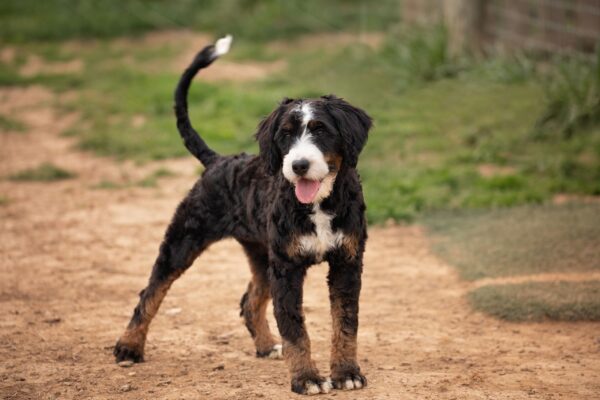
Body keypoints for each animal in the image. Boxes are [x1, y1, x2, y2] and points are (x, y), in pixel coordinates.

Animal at [113, 33, 372, 394]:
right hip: (183, 242)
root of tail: (218, 161)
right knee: (151, 292)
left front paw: (346, 373)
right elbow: (295, 330)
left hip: (262, 257)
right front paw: (306, 378)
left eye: (320, 129)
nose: (298, 165)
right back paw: (129, 347)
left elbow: (345, 323)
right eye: (285, 133)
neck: (318, 205)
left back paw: (264, 345)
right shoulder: (287, 269)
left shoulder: (346, 263)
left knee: (249, 302)